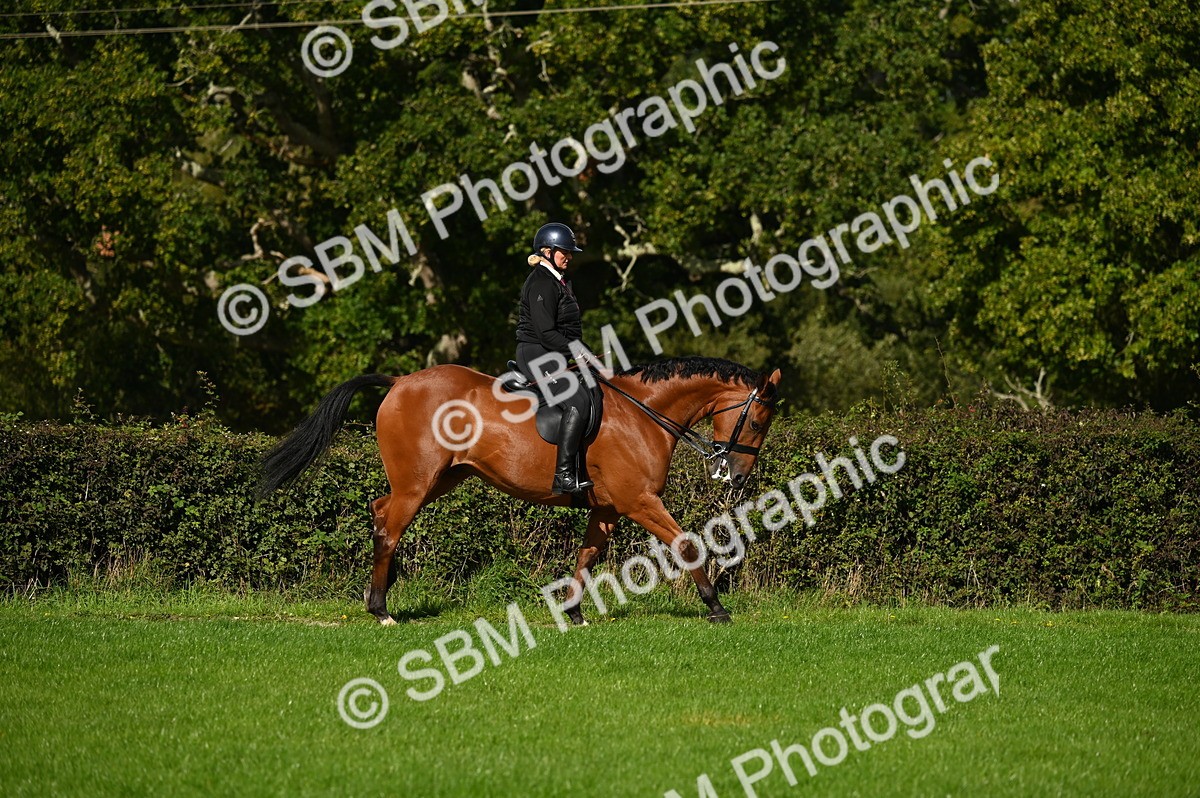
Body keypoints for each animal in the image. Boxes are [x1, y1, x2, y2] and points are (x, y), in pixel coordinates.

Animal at [258, 356, 782, 625]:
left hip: (439, 480)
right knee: (389, 527)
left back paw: (381, 594)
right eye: (758, 420)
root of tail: (401, 380)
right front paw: (716, 608)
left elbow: (587, 555)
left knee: (379, 510)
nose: (736, 476)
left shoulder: (609, 507)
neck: (643, 414)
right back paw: (382, 610)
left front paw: (573, 612)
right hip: (418, 482)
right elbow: (687, 544)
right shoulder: (639, 501)